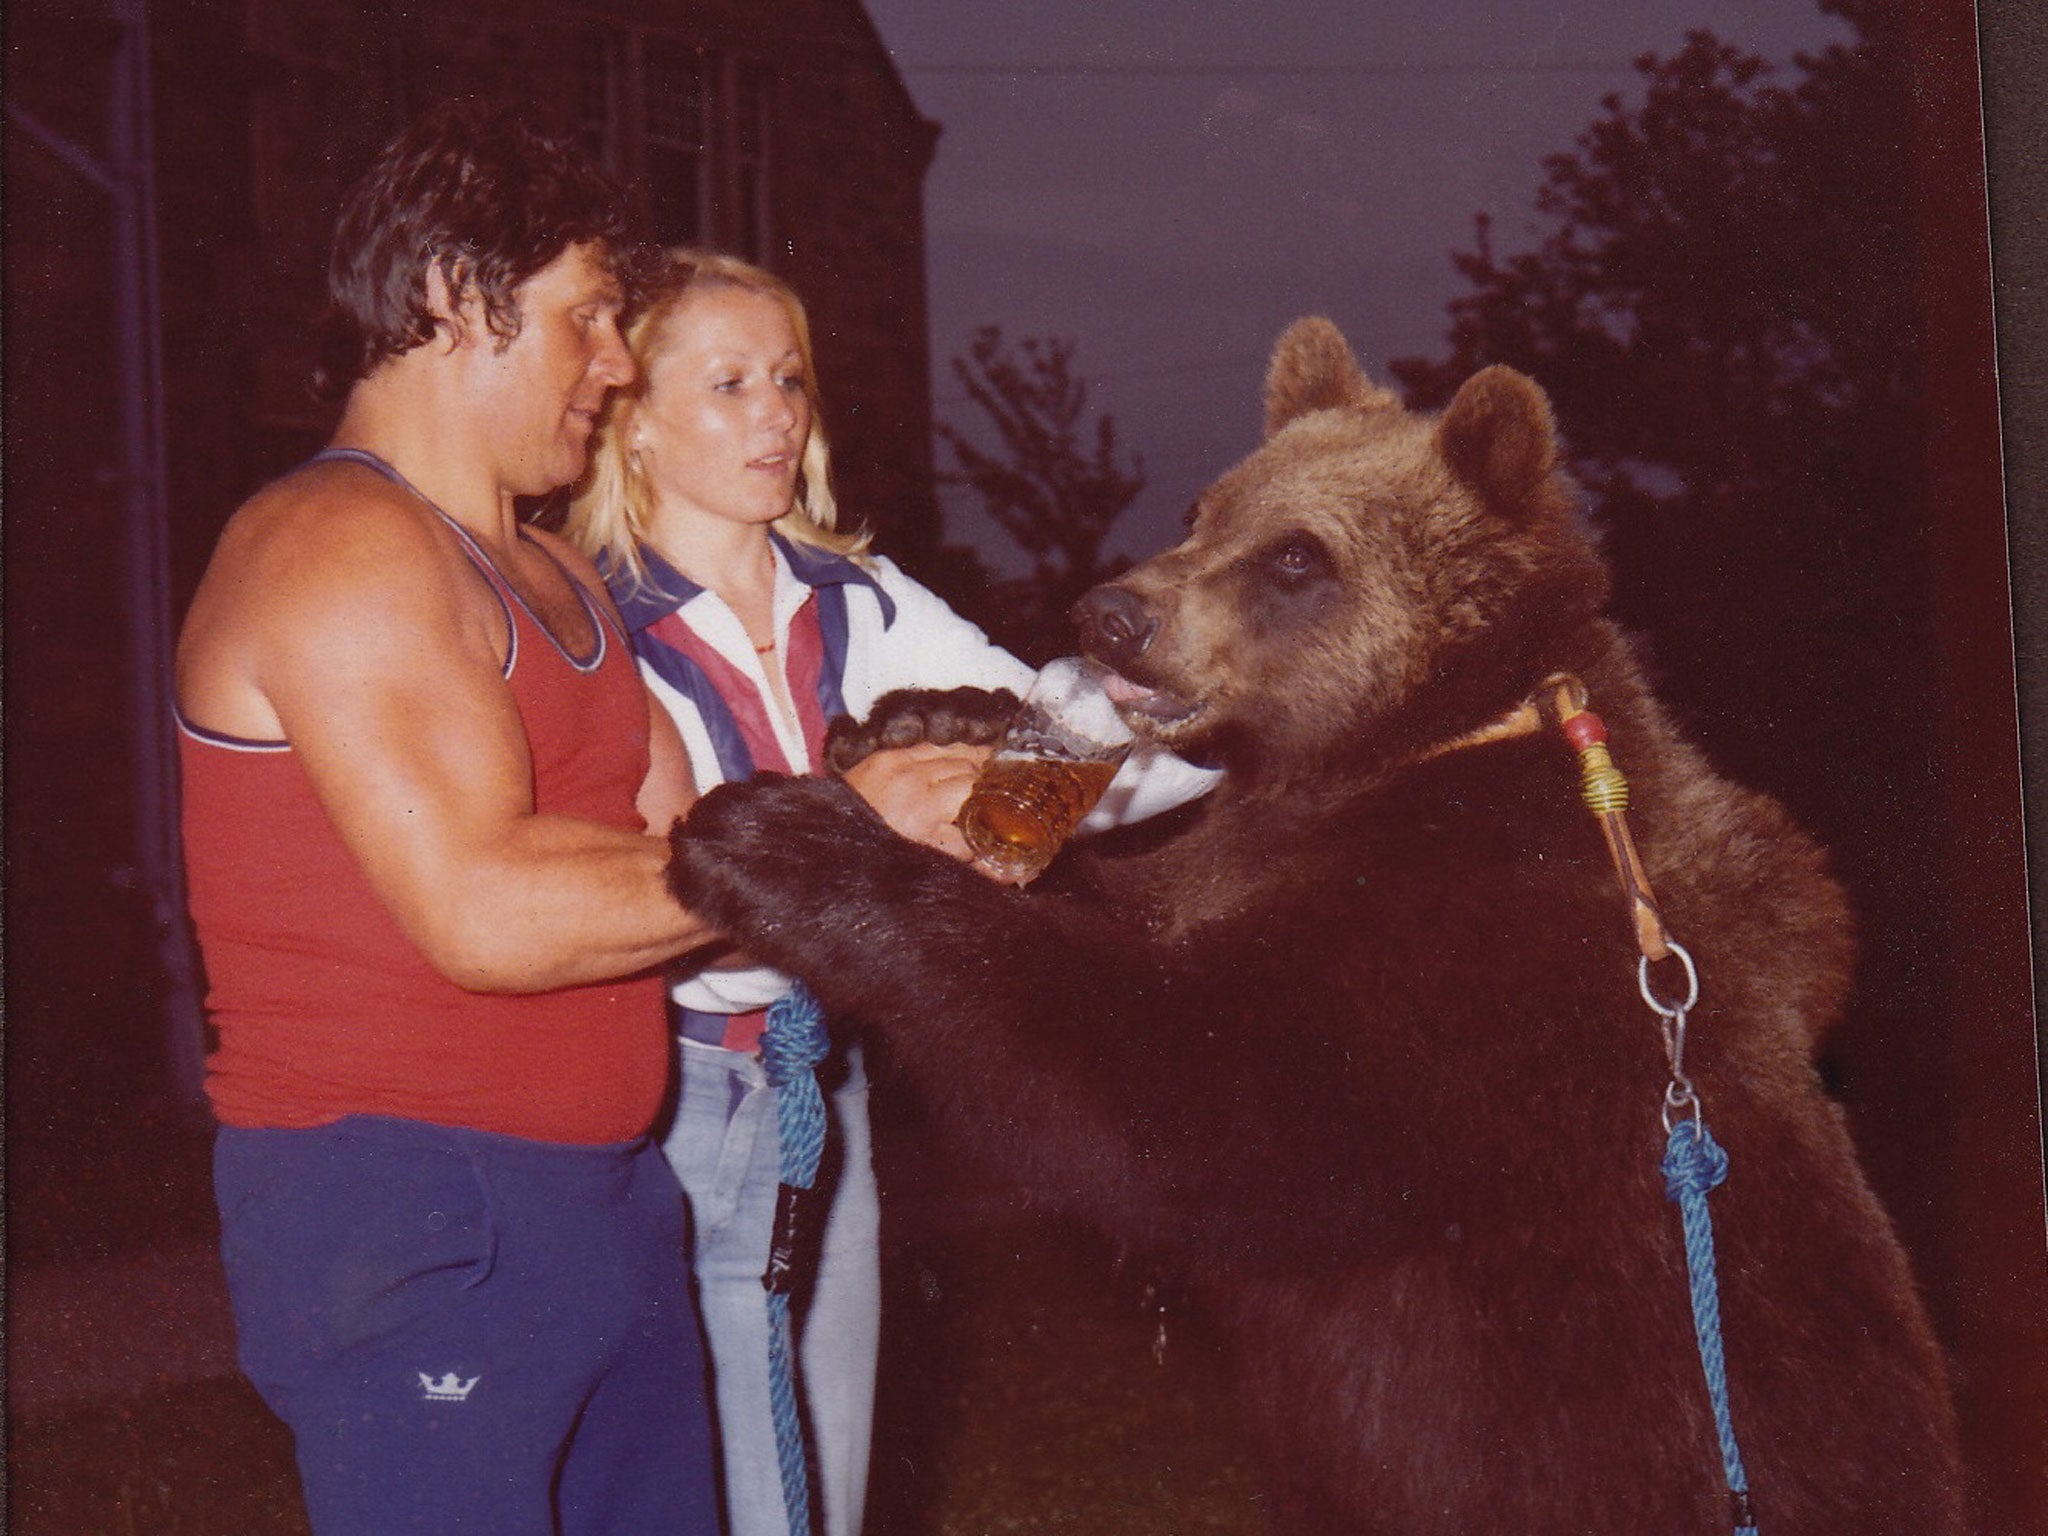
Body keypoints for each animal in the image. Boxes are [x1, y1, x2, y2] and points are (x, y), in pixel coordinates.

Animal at [663, 319, 1957, 1531]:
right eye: (1204, 506)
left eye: (1295, 556)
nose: (1112, 613)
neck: (1391, 755)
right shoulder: (1262, 861)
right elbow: (1142, 916)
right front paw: (926, 721)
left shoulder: (1463, 973)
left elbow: (1181, 1093)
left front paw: (775, 842)